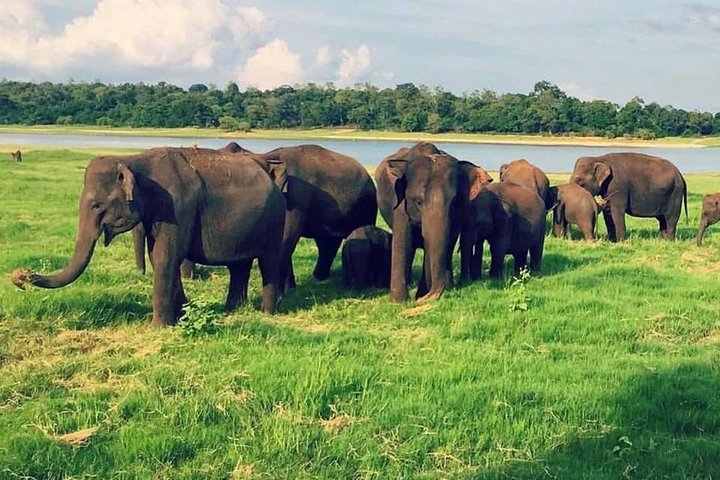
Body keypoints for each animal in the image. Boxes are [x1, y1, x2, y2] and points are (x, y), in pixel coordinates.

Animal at [11, 147, 286, 327]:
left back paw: (267, 313)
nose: (20, 276)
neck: (134, 160)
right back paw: (233, 310)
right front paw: (180, 316)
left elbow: (166, 257)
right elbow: (158, 256)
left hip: (275, 219)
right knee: (239, 265)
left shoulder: (177, 205)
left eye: (97, 206)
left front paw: (159, 327)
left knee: (269, 261)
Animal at [253, 144, 377, 291]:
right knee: (327, 242)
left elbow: (286, 237)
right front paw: (291, 289)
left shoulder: (295, 197)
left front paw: (285, 291)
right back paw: (319, 278)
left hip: (367, 206)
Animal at [376, 142, 478, 303]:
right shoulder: (401, 205)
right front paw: (399, 302)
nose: (424, 299)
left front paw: (420, 295)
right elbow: (403, 242)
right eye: (418, 201)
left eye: (454, 201)